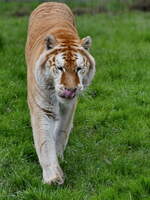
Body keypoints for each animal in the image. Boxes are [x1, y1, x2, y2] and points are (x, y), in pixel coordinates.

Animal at [25, 2, 95, 185]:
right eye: (60, 68)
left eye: (79, 68)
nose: (70, 89)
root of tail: (51, 2)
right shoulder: (42, 107)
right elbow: (44, 141)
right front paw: (53, 177)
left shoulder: (69, 106)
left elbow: (61, 132)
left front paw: (58, 155)